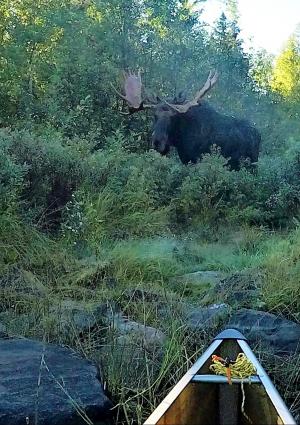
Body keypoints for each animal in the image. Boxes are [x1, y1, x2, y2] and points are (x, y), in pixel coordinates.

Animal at [114, 69, 260, 169]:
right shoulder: (186, 159)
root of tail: (258, 134)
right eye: (154, 115)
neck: (180, 141)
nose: (157, 142)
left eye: (174, 117)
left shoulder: (198, 159)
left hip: (250, 163)